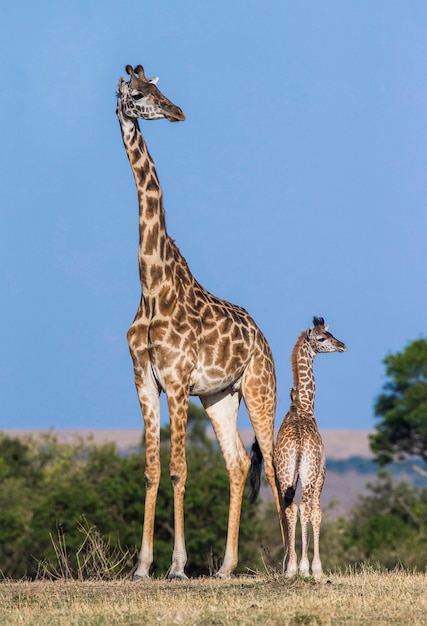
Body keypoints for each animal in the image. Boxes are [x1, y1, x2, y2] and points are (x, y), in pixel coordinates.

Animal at [115, 66, 282, 576]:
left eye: (157, 88)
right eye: (136, 94)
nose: (177, 112)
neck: (151, 287)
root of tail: (263, 339)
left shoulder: (176, 381)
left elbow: (178, 469)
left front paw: (176, 566)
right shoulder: (145, 382)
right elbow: (152, 470)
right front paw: (142, 566)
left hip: (259, 388)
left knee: (271, 463)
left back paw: (290, 561)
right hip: (220, 397)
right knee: (238, 463)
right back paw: (226, 566)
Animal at [274, 320, 348, 576]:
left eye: (330, 332)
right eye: (322, 338)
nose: (342, 345)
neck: (304, 406)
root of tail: (298, 444)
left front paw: (293, 565)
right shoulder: (321, 473)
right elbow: (317, 513)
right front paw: (316, 568)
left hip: (284, 472)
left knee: (289, 507)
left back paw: (290, 568)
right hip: (309, 472)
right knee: (306, 507)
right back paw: (304, 568)